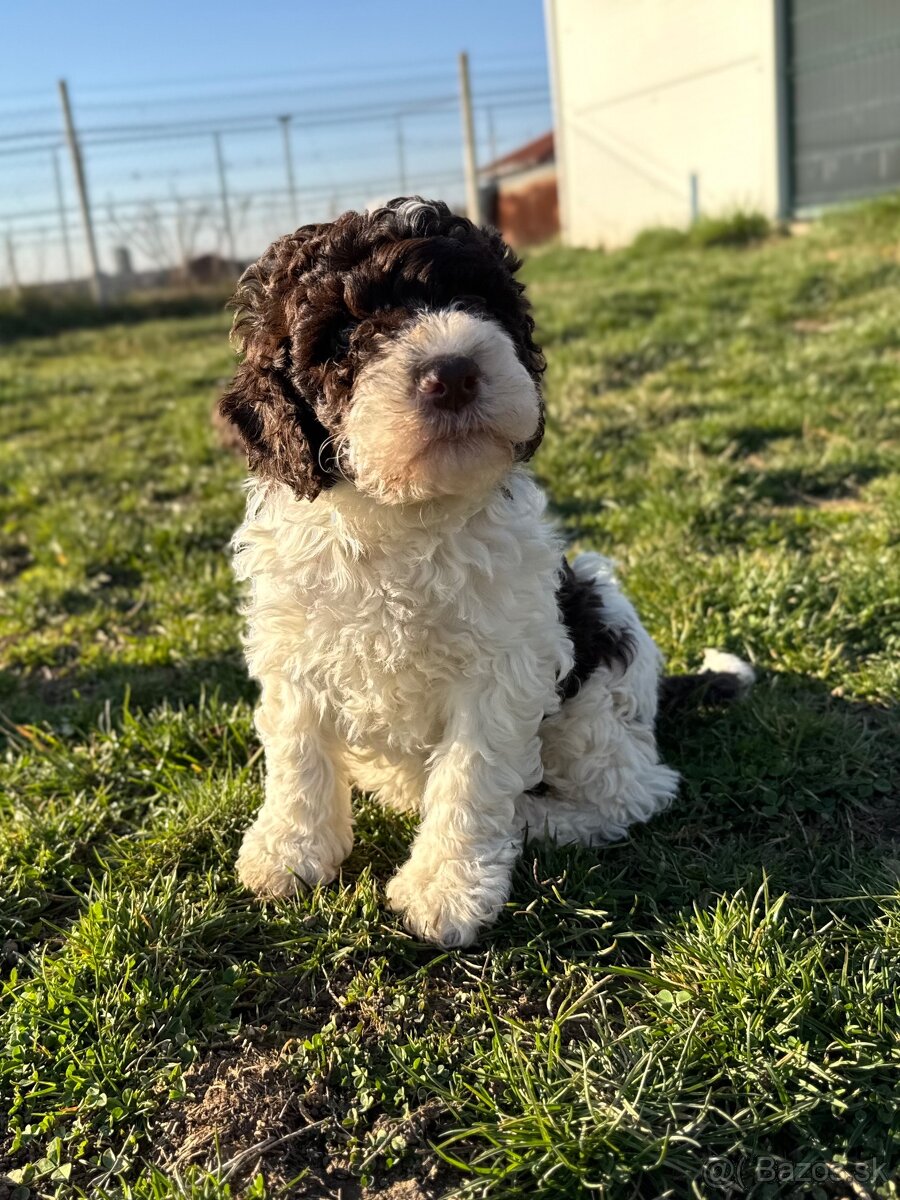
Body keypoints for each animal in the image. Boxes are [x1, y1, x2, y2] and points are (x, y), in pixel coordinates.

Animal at [218, 196, 753, 945]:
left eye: (472, 300)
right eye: (343, 334)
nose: (453, 372)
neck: (405, 513)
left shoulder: (504, 666)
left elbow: (469, 777)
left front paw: (446, 891)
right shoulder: (295, 645)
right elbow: (296, 752)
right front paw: (288, 852)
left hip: (594, 679)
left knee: (635, 794)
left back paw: (540, 819)